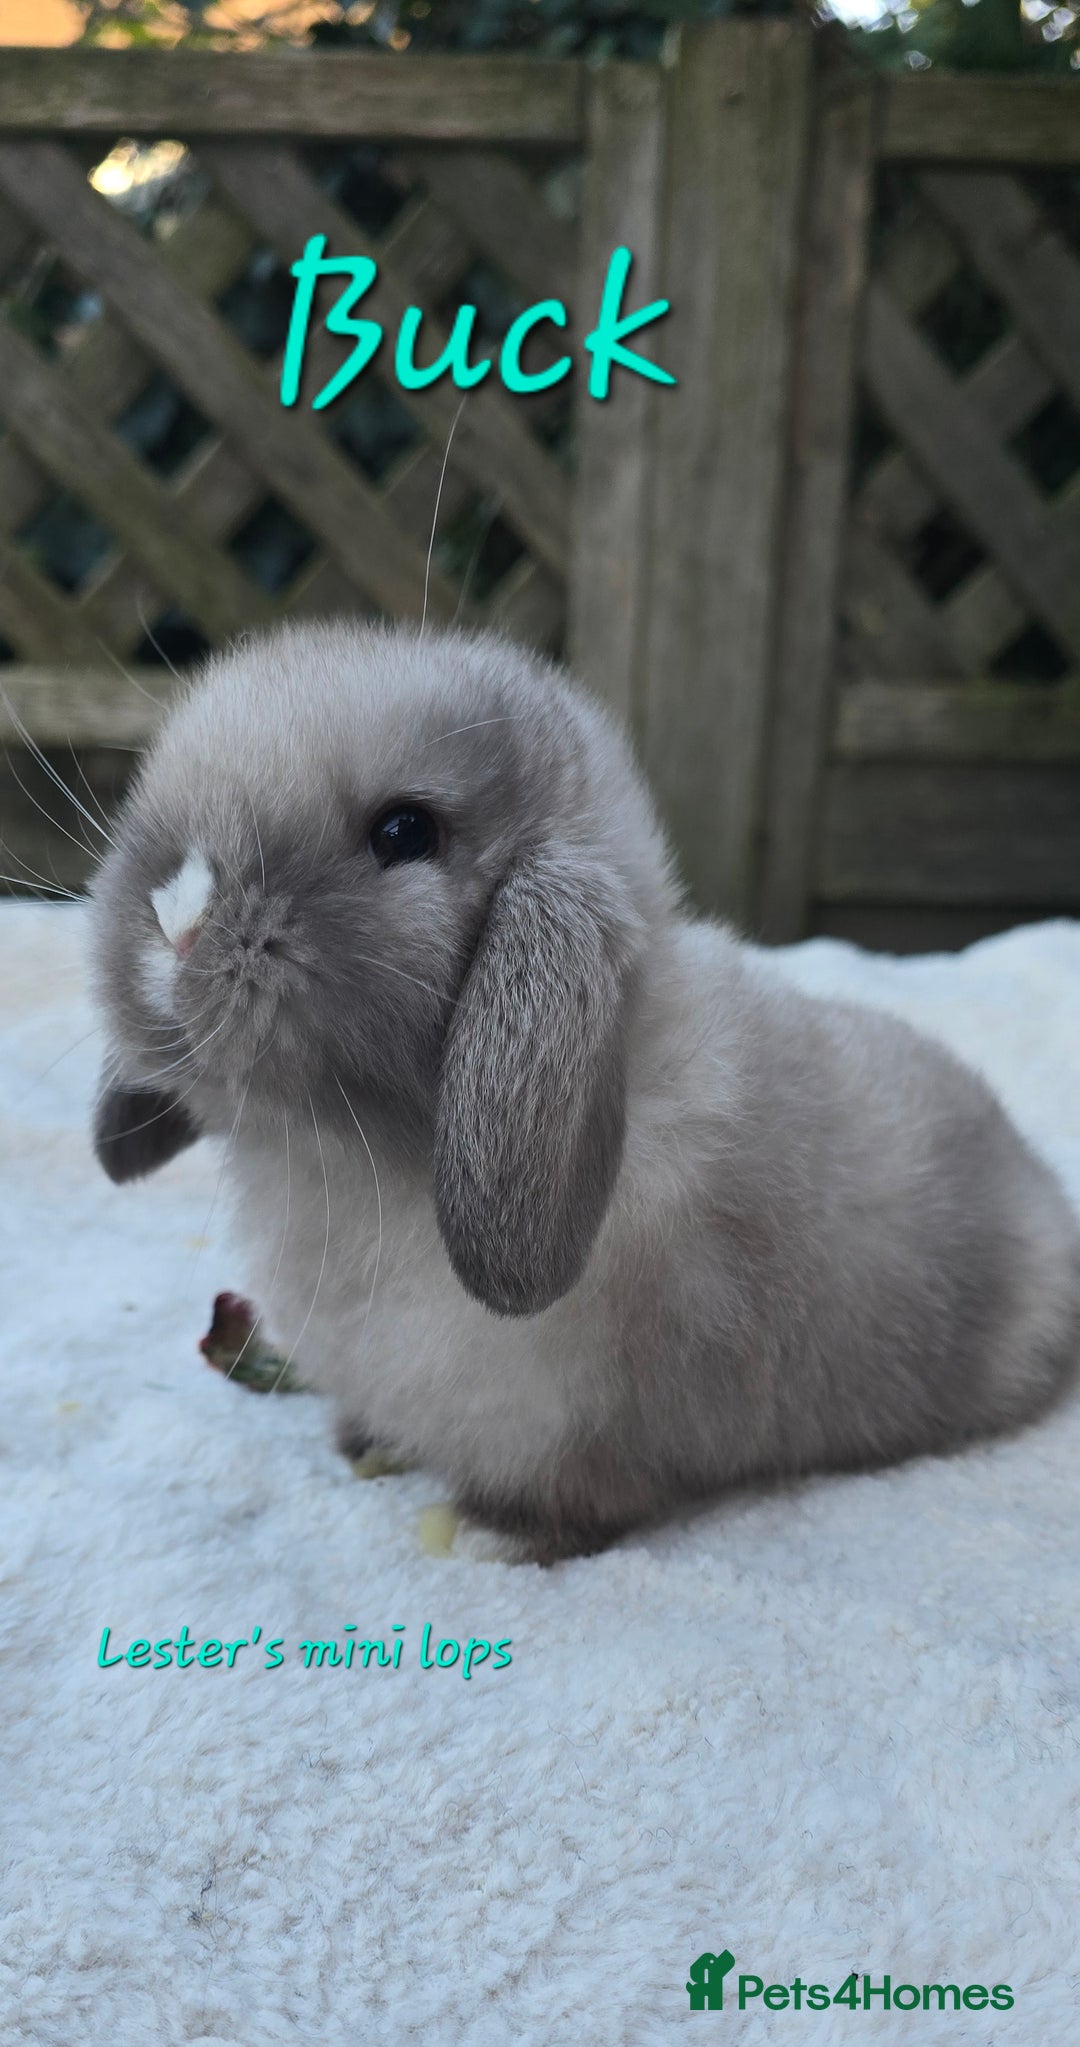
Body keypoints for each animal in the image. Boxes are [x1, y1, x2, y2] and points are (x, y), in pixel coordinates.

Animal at [89, 619, 1080, 1560]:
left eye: (405, 832)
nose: (176, 917)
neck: (342, 1157)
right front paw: (369, 1442)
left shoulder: (569, 1431)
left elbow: (575, 1502)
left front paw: (489, 1534)